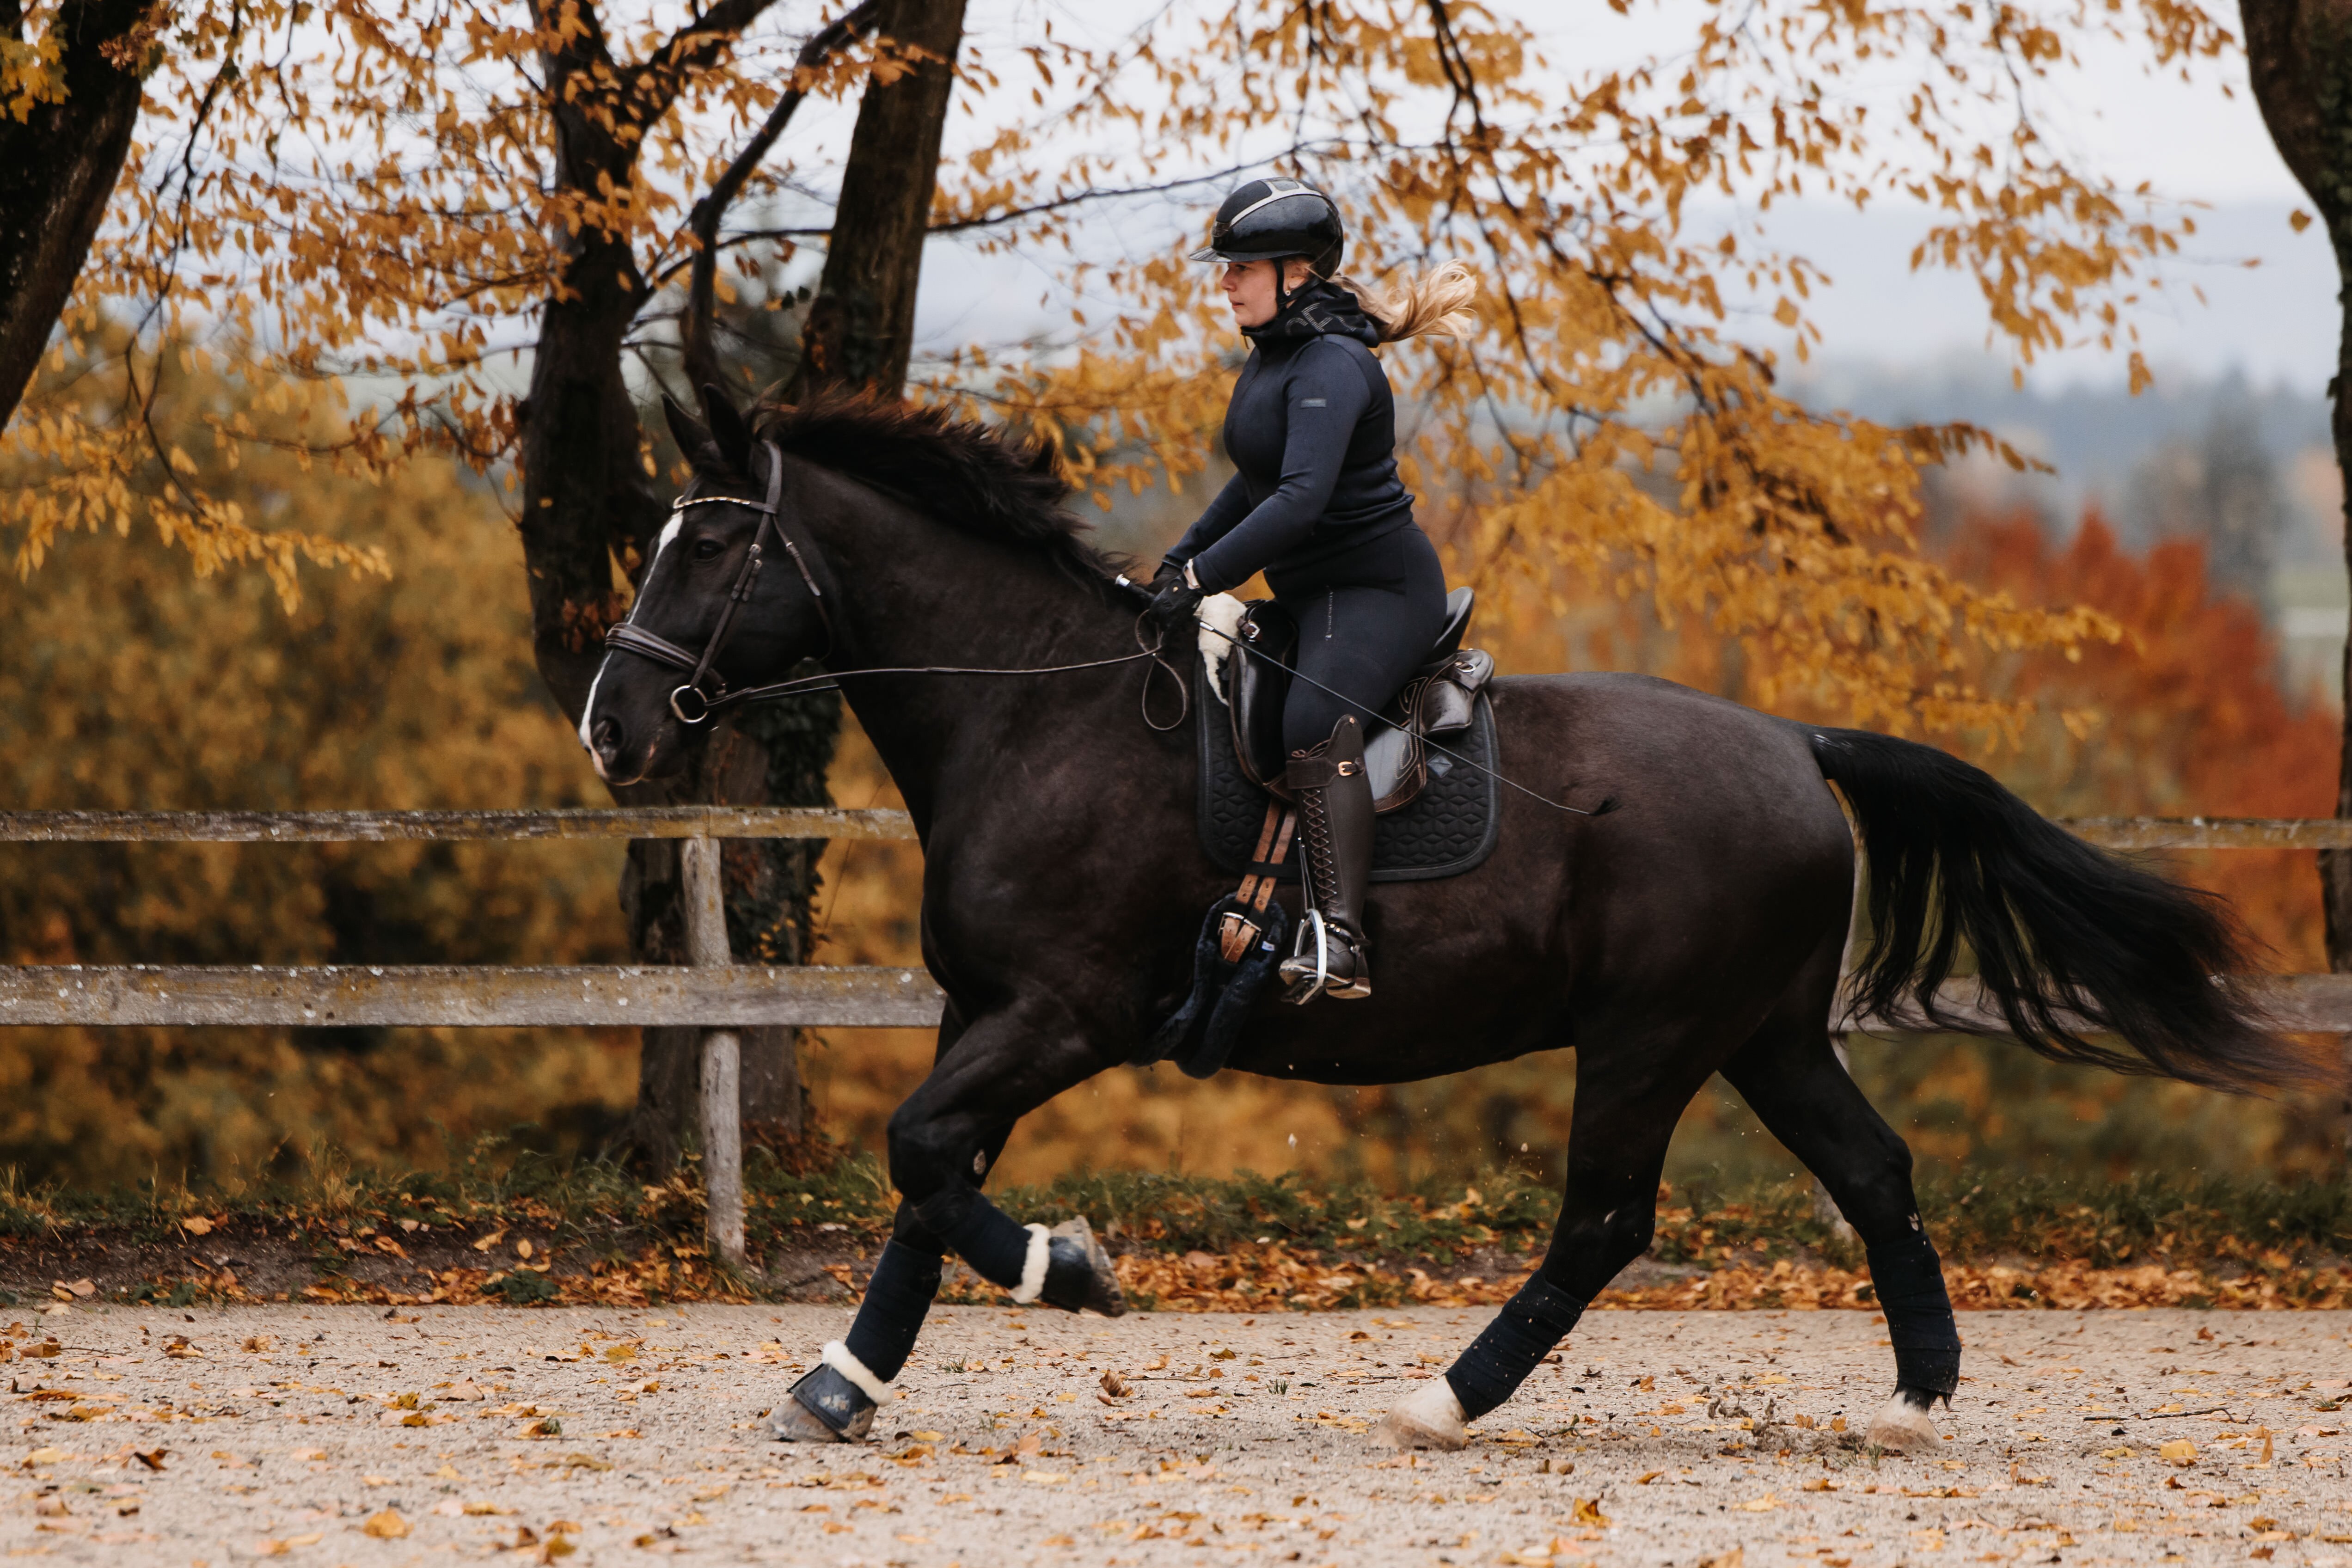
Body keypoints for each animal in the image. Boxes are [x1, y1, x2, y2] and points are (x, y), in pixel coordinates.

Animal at [577, 384, 2312, 1453]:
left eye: (713, 543)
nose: (609, 729)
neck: (1039, 711)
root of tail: (1793, 743)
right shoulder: (982, 1010)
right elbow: (923, 1187)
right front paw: (840, 1383)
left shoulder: (1058, 1013)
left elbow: (927, 1162)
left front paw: (1074, 1272)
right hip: (1760, 1031)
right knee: (1874, 1171)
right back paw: (1915, 1402)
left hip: (1651, 1034)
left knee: (1604, 1219)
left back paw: (1445, 1399)